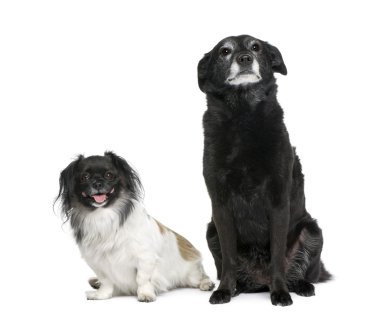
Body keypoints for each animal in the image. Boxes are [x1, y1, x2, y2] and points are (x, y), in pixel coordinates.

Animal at [56, 153, 214, 302]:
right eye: (85, 177)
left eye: (109, 175)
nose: (98, 183)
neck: (103, 215)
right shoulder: (98, 263)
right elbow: (106, 281)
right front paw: (102, 295)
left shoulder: (145, 257)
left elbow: (142, 278)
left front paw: (145, 294)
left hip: (191, 274)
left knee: (201, 277)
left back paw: (206, 284)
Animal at [197, 34, 332, 306]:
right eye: (224, 51)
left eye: (255, 47)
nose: (245, 58)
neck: (243, 115)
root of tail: (260, 281)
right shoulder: (221, 205)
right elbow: (228, 258)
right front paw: (224, 290)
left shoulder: (278, 202)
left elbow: (278, 255)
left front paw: (280, 293)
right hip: (211, 231)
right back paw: (237, 287)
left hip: (312, 231)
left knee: (301, 272)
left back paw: (299, 286)